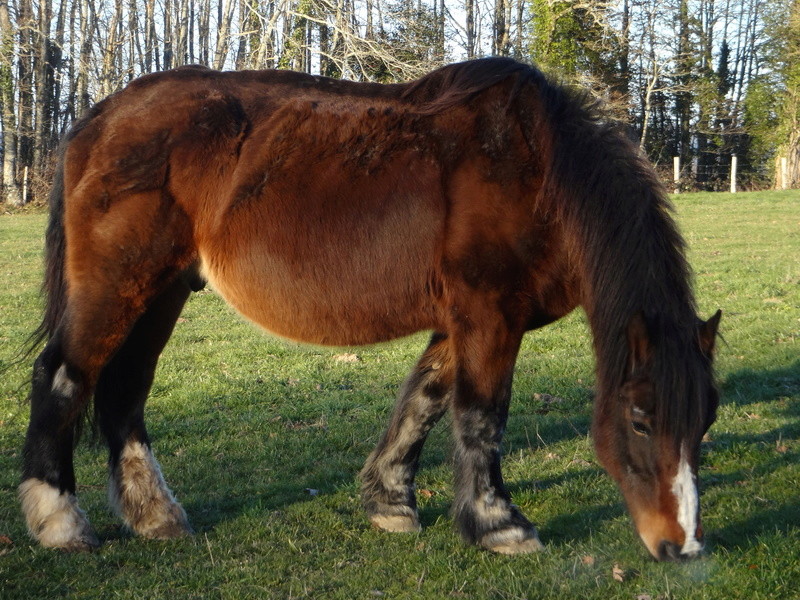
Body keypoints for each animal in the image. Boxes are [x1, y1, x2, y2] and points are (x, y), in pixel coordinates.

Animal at [20, 56, 720, 564]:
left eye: (705, 421)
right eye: (639, 418)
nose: (680, 546)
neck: (538, 173)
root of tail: (99, 118)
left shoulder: (464, 320)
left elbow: (425, 400)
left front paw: (390, 503)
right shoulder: (490, 315)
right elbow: (481, 416)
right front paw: (499, 525)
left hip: (161, 293)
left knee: (123, 394)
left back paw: (156, 517)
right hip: (117, 287)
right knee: (65, 379)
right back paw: (60, 521)